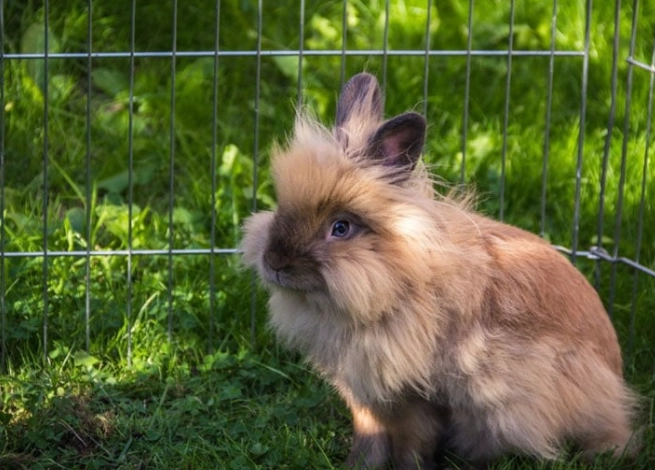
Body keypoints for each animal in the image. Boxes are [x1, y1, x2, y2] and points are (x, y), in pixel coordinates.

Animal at [241, 72, 638, 469]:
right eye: (281, 207)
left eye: (341, 228)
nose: (275, 263)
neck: (397, 279)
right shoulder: (365, 398)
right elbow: (368, 436)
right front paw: (357, 465)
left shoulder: (416, 397)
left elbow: (414, 442)